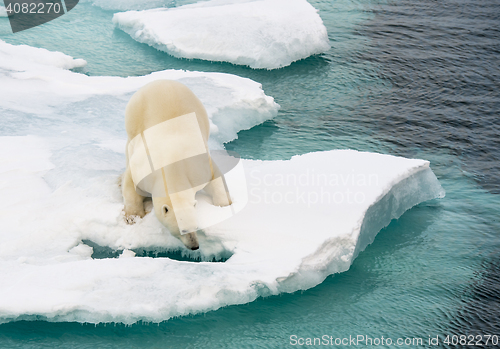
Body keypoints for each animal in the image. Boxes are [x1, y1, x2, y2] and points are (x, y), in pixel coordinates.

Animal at [122, 79, 231, 247]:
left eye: (195, 227)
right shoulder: (143, 168)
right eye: (182, 231)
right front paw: (132, 216)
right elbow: (130, 182)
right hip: (134, 114)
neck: (172, 168)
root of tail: (162, 80)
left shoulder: (198, 168)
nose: (195, 245)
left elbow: (215, 177)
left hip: (200, 111)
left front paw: (224, 205)